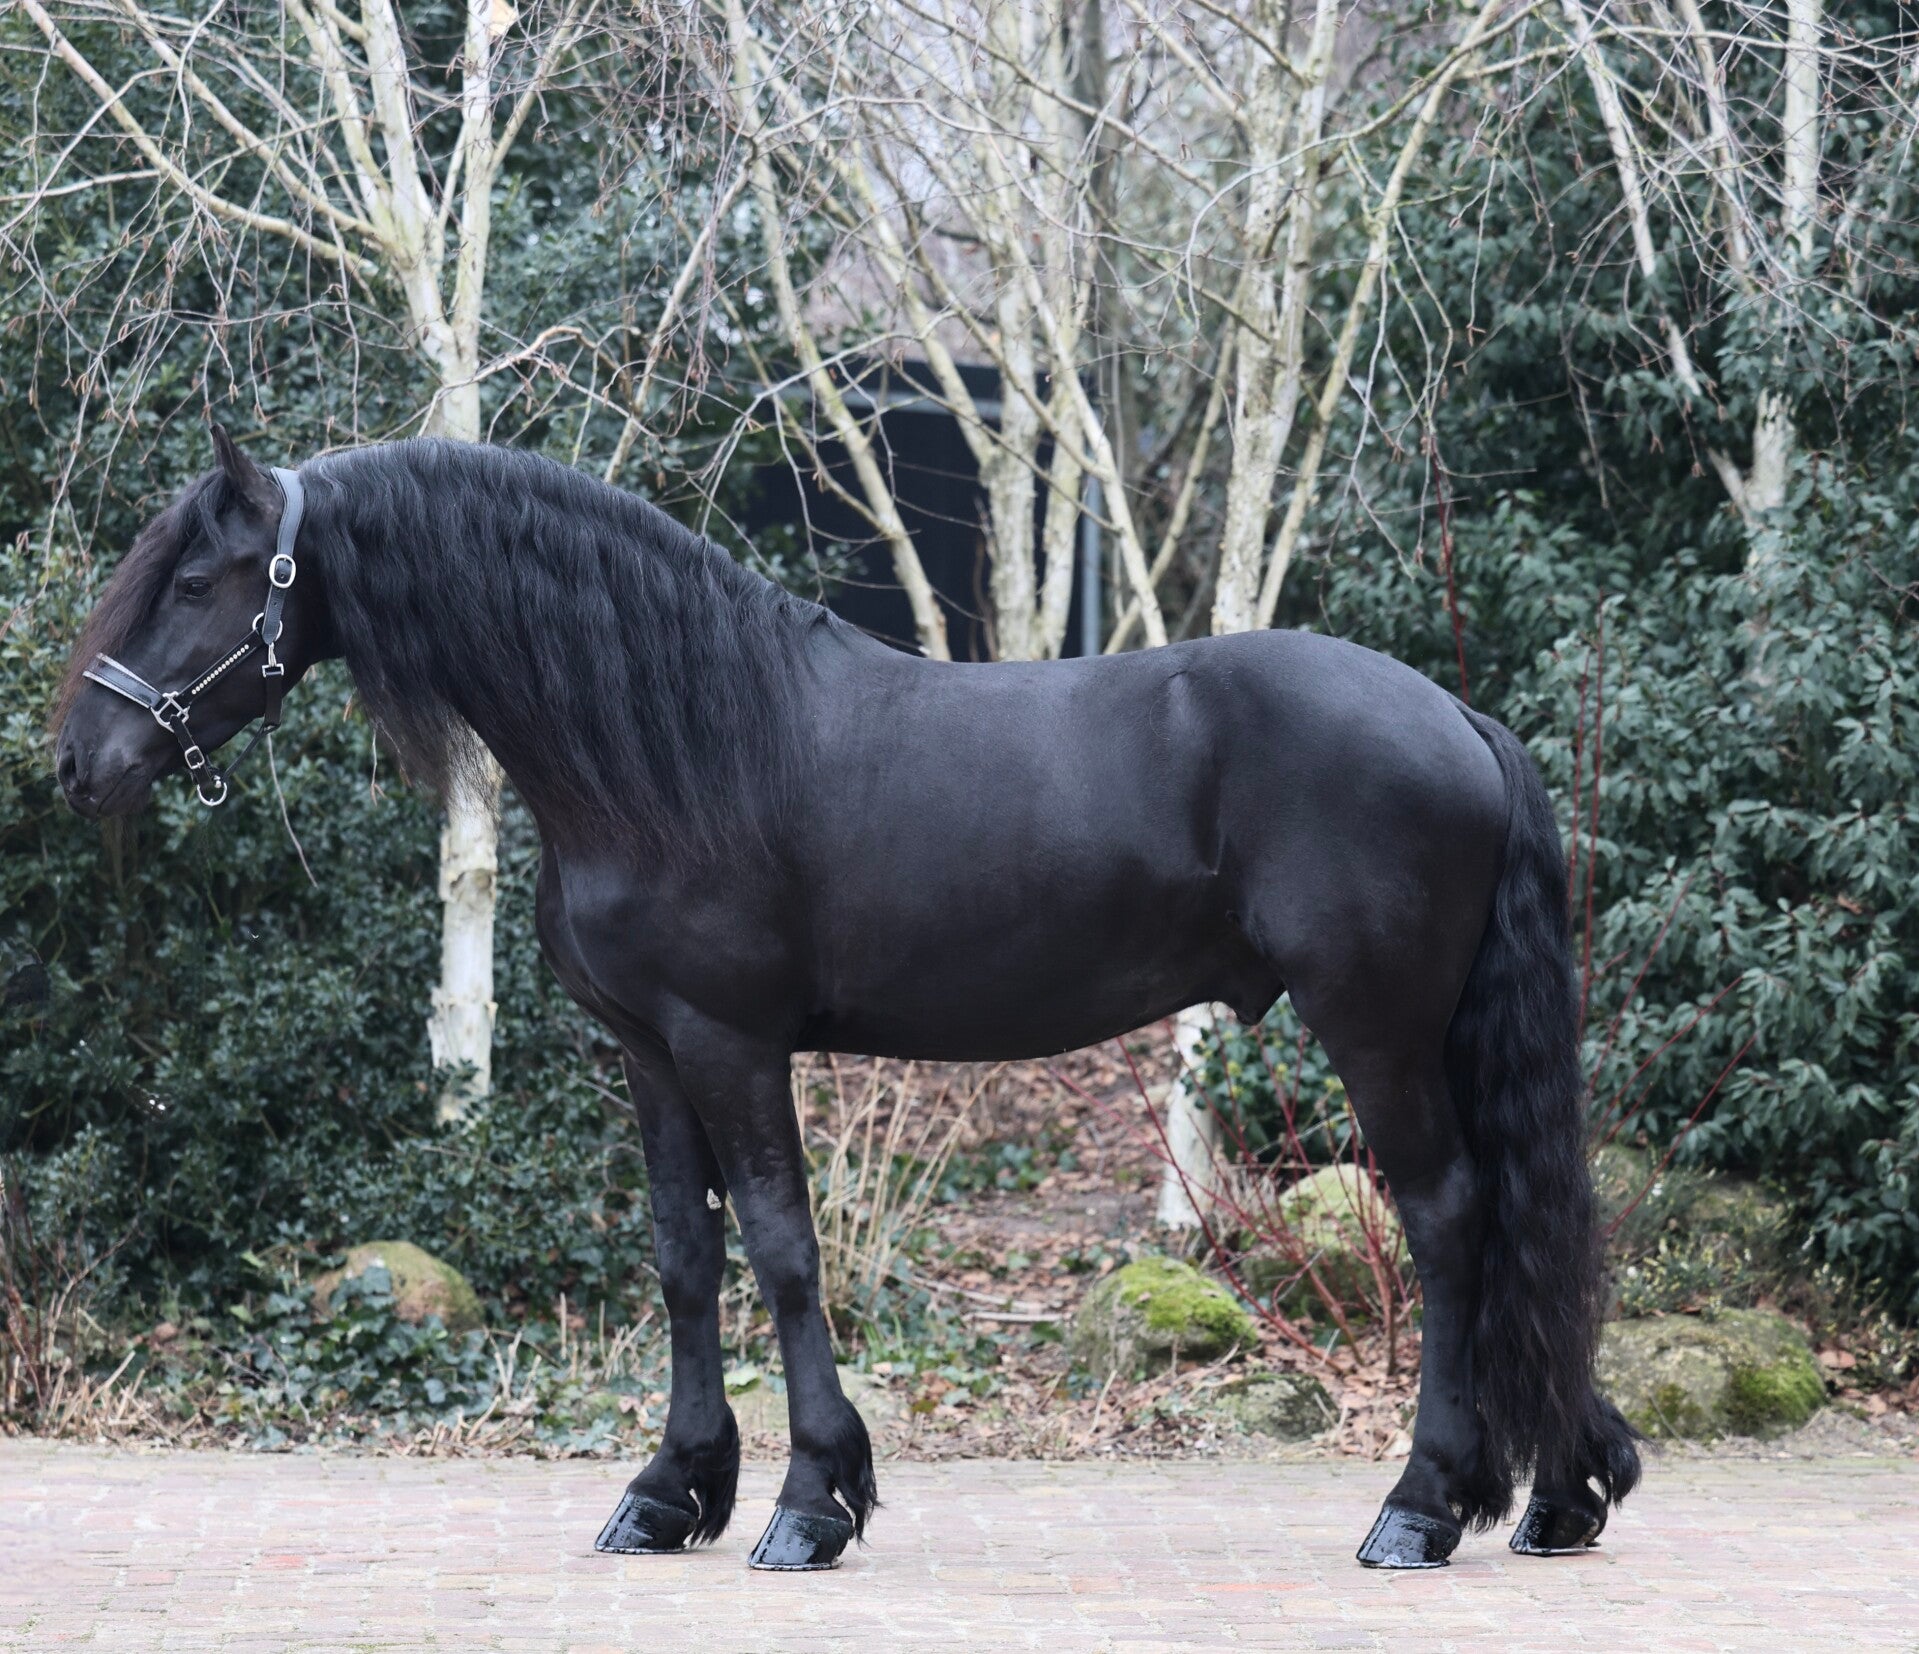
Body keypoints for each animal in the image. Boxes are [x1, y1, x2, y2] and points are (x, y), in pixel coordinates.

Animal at [54, 428, 1639, 1572]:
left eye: (195, 581)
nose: (77, 762)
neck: (665, 738)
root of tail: (1458, 717)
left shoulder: (729, 1040)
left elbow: (779, 1250)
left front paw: (808, 1498)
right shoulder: (645, 1051)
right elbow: (682, 1257)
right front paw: (670, 1489)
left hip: (1375, 1026)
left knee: (1450, 1223)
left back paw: (1421, 1505)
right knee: (1515, 1223)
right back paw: (1561, 1489)